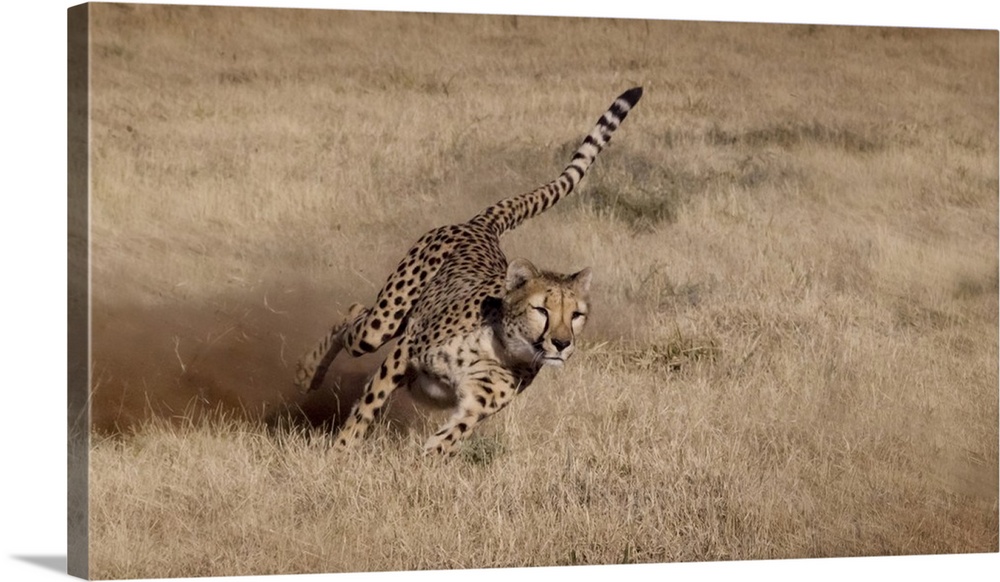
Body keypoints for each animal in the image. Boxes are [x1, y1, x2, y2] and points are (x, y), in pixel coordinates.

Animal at [296, 89, 644, 458]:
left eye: (576, 315)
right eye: (541, 310)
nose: (562, 343)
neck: (501, 347)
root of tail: (482, 226)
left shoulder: (476, 404)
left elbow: (450, 436)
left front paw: (423, 462)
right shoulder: (405, 351)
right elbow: (368, 405)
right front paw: (340, 452)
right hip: (384, 323)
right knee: (353, 316)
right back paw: (307, 373)